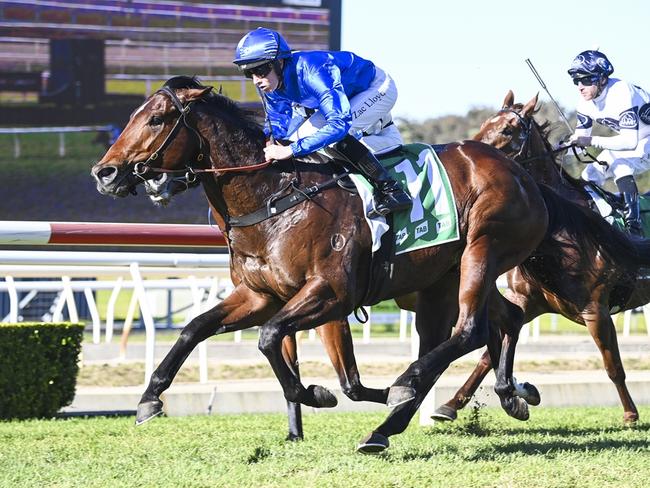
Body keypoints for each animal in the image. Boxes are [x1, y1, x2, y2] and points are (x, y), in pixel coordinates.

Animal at [91, 76, 560, 454]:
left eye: (156, 119)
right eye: (133, 116)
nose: (105, 173)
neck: (274, 197)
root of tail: (522, 175)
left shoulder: (331, 293)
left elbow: (271, 338)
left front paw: (314, 393)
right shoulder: (259, 295)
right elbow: (194, 329)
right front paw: (149, 398)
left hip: (482, 250)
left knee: (469, 331)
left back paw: (406, 389)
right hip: (448, 274)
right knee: (504, 318)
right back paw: (497, 396)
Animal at [430, 90, 650, 424]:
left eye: (509, 129)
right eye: (484, 123)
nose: (466, 152)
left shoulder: (595, 310)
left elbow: (613, 366)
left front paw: (630, 414)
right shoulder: (528, 302)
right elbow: (486, 357)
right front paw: (452, 404)